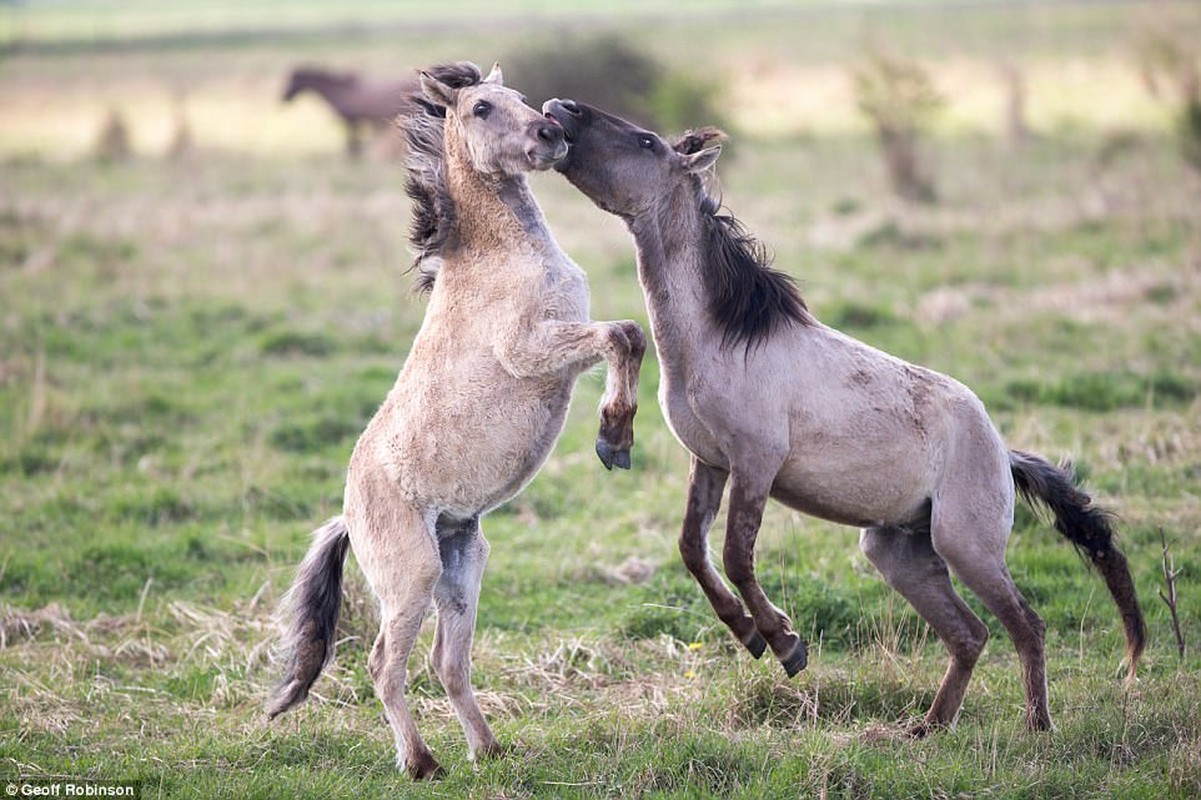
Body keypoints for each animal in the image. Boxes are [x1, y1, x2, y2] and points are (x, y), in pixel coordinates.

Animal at [282, 65, 417, 157]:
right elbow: (353, 144)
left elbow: (352, 145)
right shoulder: (354, 122)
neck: (342, 92)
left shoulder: (350, 121)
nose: (283, 98)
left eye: (292, 80)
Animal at [545, 96, 1143, 730]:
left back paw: (1035, 727)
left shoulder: (756, 463)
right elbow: (692, 549)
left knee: (1025, 625)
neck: (719, 338)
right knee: (970, 635)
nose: (560, 109)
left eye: (646, 143)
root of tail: (1004, 453)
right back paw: (927, 729)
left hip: (967, 547)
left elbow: (735, 554)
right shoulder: (709, 462)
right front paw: (750, 635)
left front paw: (785, 644)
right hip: (898, 553)